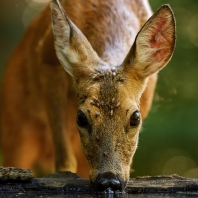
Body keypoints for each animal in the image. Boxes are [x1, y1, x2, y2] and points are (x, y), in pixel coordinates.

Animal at [1, 0, 175, 193]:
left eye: (135, 118)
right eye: (81, 117)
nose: (109, 181)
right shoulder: (48, 65)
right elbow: (64, 161)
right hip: (15, 125)